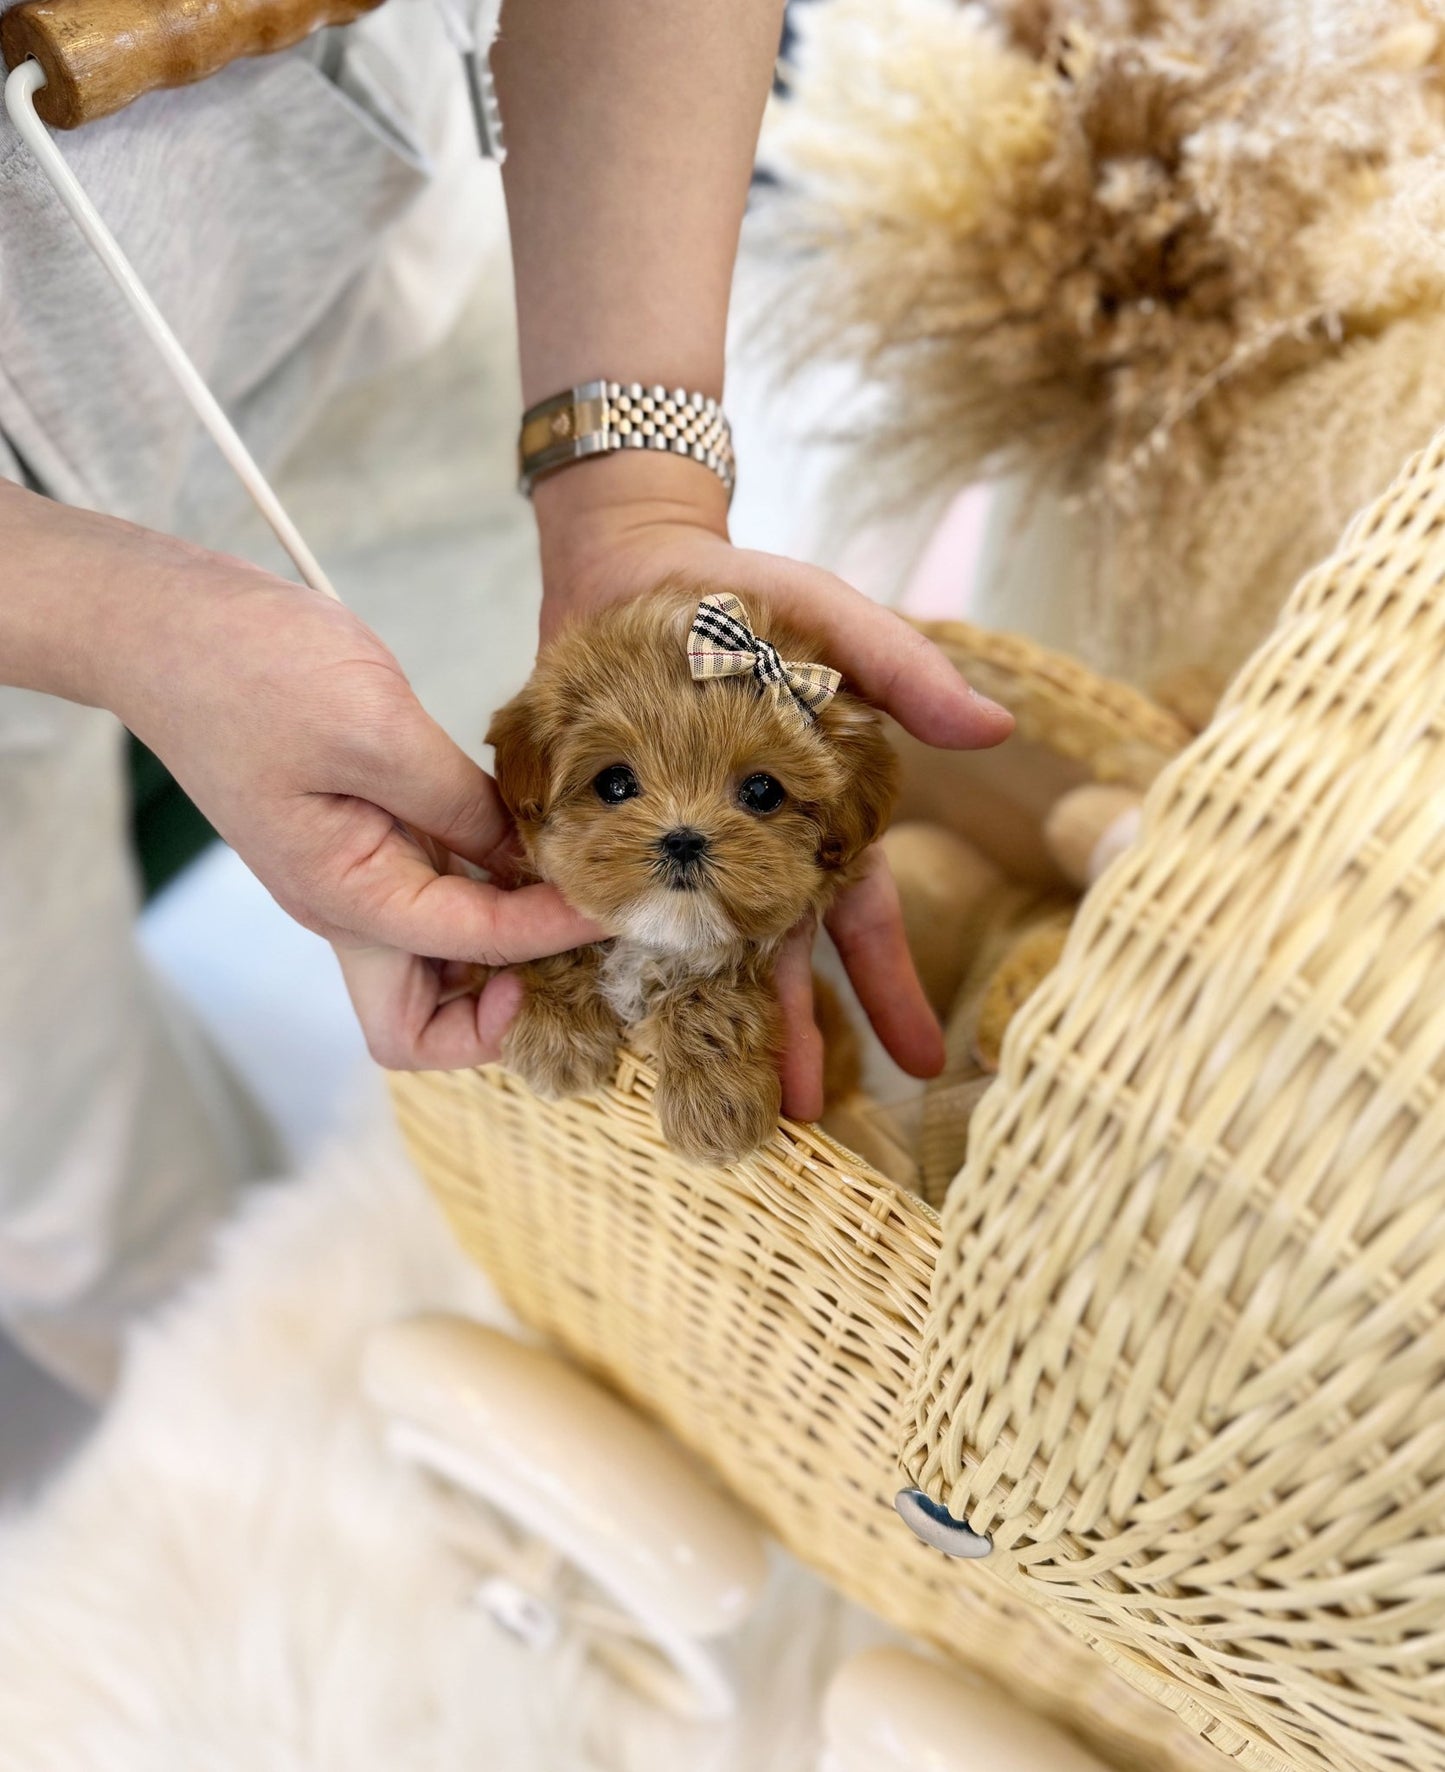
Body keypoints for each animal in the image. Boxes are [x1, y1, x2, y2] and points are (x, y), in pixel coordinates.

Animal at [489, 577, 893, 1162]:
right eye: (614, 783)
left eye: (762, 792)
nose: (683, 840)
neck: (656, 938)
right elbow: (554, 953)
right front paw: (557, 1043)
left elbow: (713, 995)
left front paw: (716, 1105)